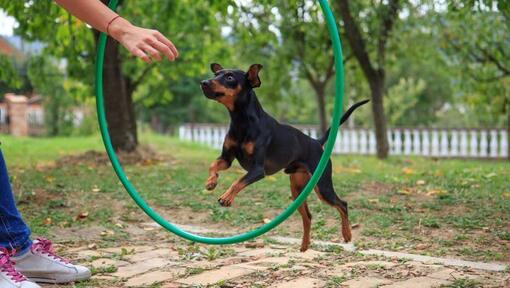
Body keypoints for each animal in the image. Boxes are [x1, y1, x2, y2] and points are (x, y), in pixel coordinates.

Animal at [198, 63, 366, 252]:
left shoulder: (258, 170)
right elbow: (213, 165)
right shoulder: (226, 158)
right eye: (216, 74)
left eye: (229, 77)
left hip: (322, 186)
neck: (242, 121)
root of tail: (316, 142)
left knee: (342, 204)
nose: (203, 82)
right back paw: (304, 245)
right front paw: (211, 182)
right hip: (297, 190)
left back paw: (347, 234)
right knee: (308, 216)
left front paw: (226, 197)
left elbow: (237, 182)